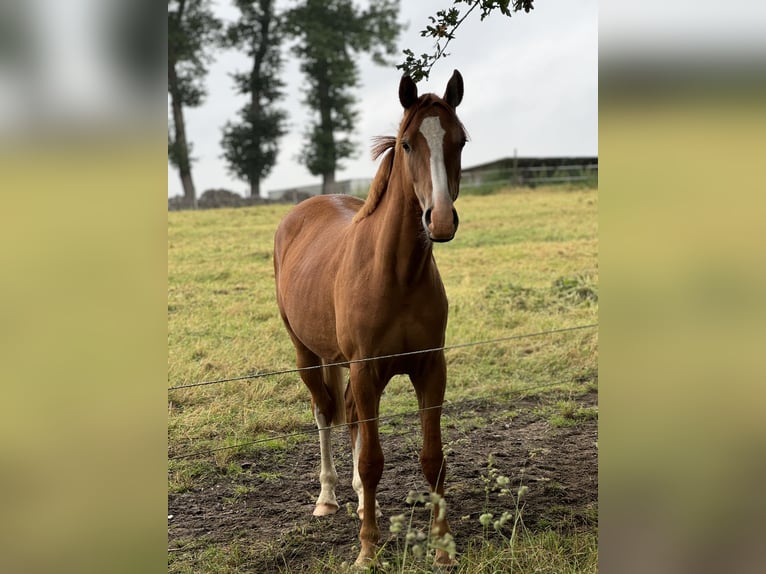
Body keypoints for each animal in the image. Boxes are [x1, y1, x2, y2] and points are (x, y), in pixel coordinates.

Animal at [276, 71, 468, 568]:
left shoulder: (429, 368)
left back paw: (366, 502)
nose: (440, 219)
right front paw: (367, 553)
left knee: (349, 417)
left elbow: (432, 458)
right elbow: (371, 460)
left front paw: (442, 550)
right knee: (325, 413)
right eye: (406, 143)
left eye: (459, 140)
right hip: (308, 355)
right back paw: (328, 498)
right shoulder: (364, 369)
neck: (396, 273)